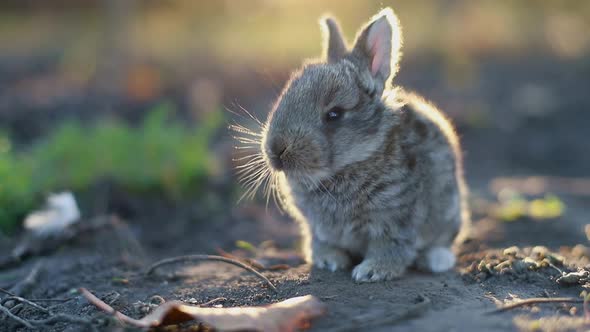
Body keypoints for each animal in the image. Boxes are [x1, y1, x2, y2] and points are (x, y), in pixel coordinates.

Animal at [236, 7, 472, 282]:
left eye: (334, 114)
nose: (276, 150)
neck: (350, 164)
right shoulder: (316, 228)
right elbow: (321, 242)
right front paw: (329, 261)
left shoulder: (395, 220)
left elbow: (392, 246)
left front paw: (372, 271)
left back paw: (435, 260)